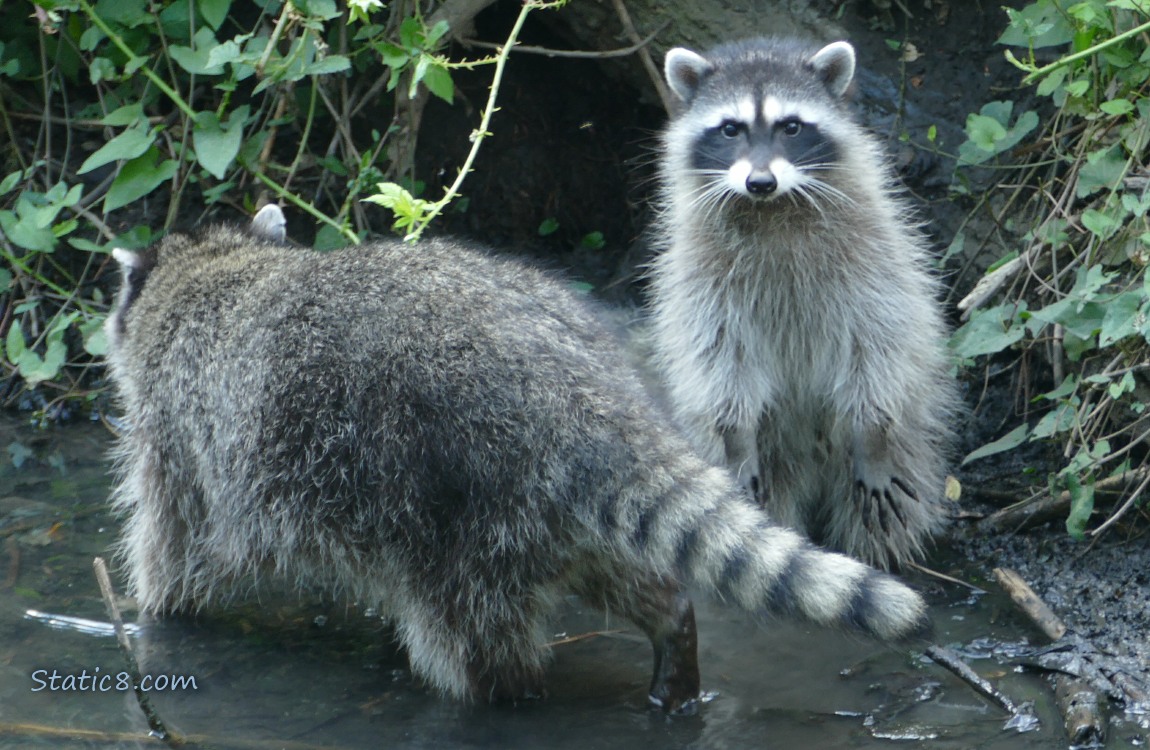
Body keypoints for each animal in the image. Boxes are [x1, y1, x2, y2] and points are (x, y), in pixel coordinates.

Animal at [105, 205, 927, 712]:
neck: (212, 265)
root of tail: (586, 393)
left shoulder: (176, 434)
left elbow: (172, 534)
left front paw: (153, 614)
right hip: (552, 506)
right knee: (627, 572)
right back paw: (671, 636)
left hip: (457, 500)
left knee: (469, 635)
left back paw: (499, 695)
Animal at [647, 39, 956, 570]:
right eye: (730, 129)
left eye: (790, 127)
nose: (760, 182)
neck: (772, 209)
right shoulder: (702, 275)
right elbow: (719, 357)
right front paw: (736, 435)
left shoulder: (872, 253)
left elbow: (879, 338)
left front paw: (872, 432)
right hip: (770, 460)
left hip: (906, 445)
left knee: (881, 512)